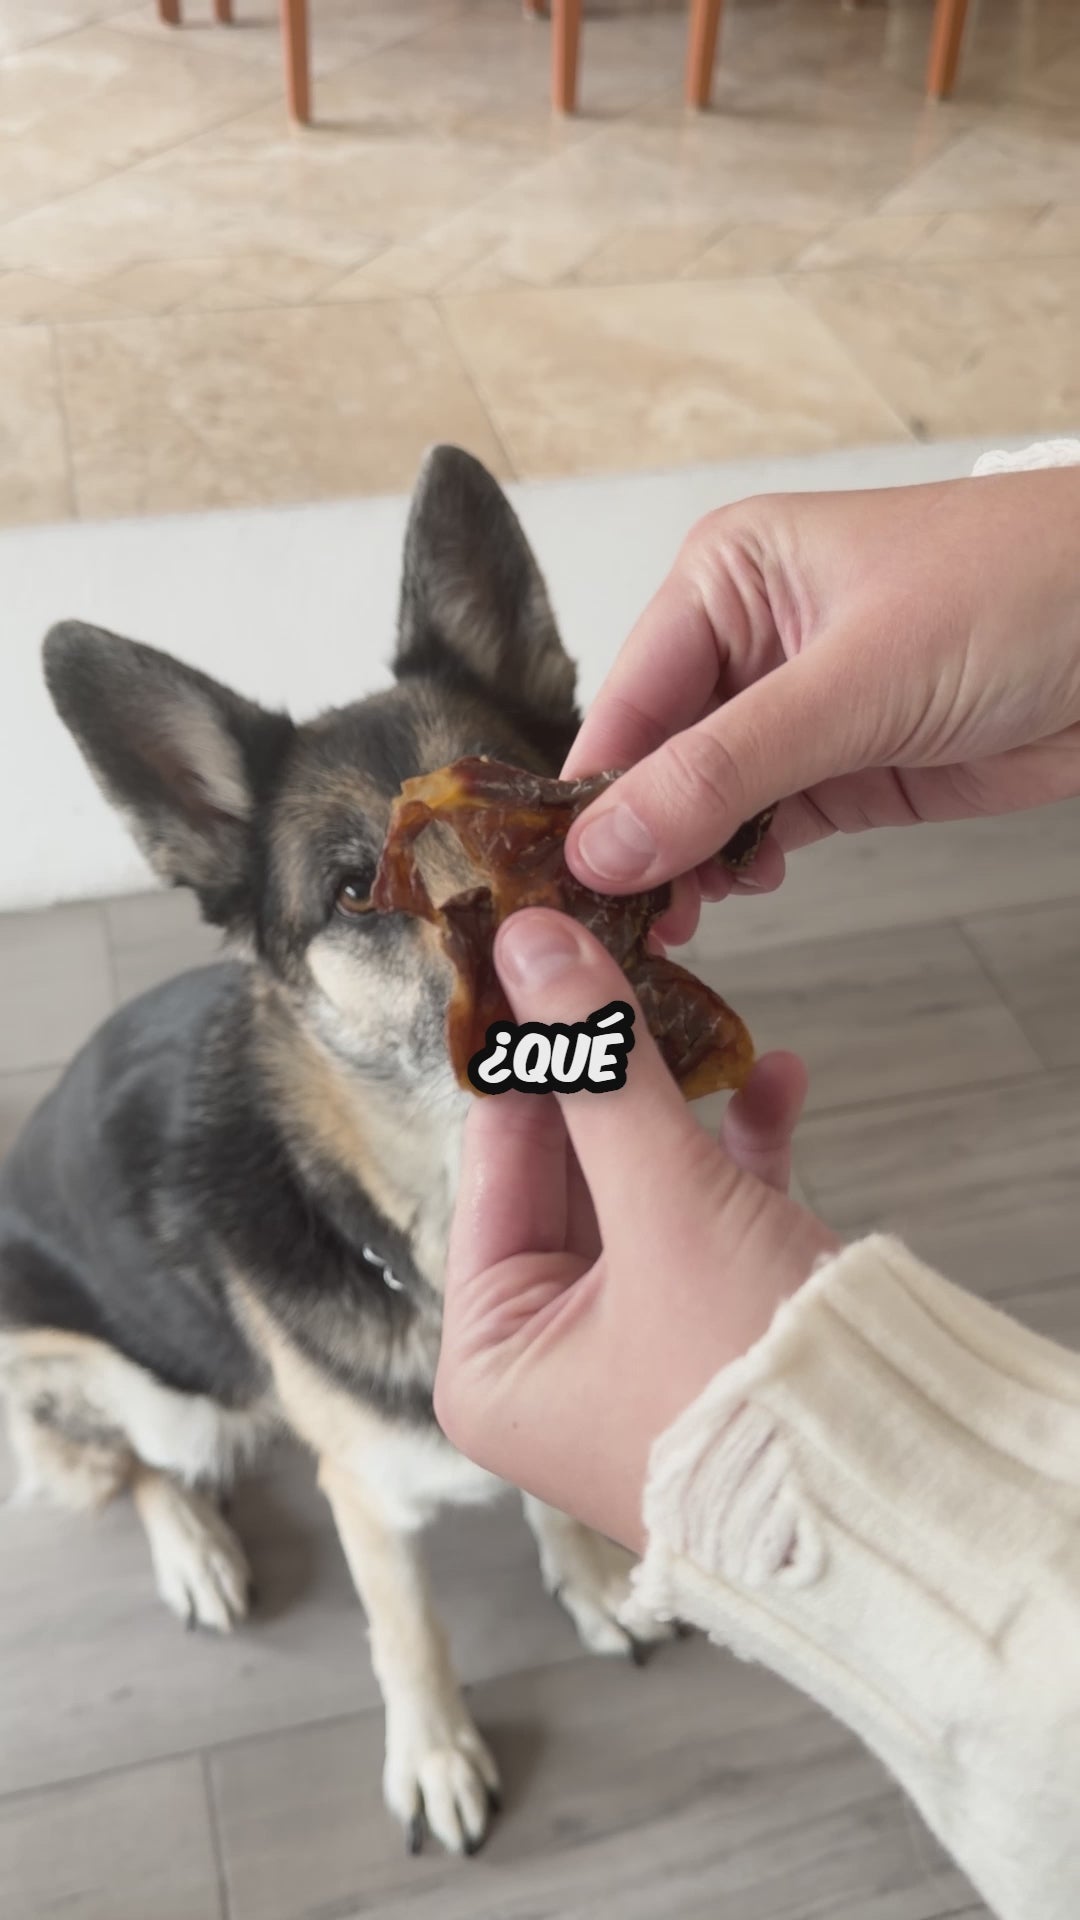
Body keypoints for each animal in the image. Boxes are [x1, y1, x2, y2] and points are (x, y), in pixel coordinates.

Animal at [0, 446, 671, 1857]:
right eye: (358, 889)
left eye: (536, 806)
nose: (556, 957)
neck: (429, 1204)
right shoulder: (363, 1495)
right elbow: (406, 1628)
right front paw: (435, 1751)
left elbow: (537, 1487)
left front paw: (585, 1575)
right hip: (142, 1386)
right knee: (139, 1464)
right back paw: (196, 1550)